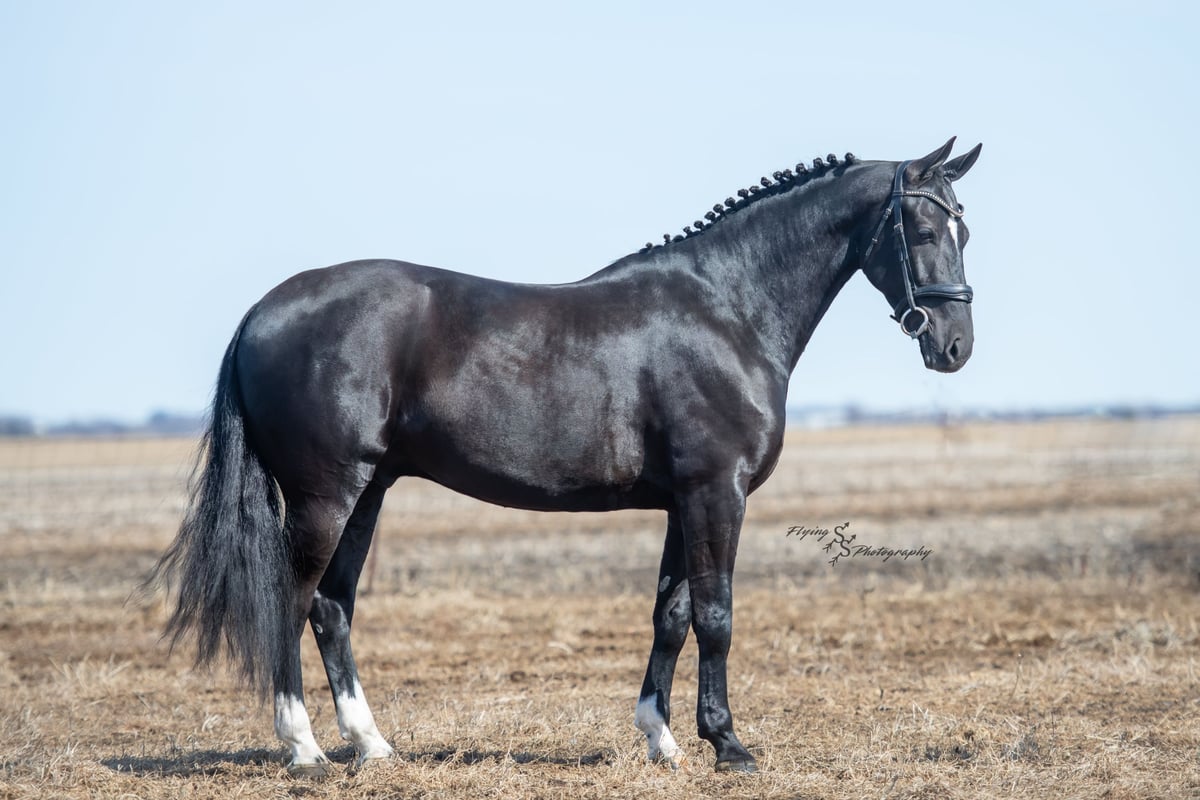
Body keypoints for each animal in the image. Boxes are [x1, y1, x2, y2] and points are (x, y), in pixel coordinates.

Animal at [148, 137, 982, 776]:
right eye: (920, 225)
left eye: (963, 230)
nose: (954, 347)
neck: (727, 310)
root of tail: (263, 311)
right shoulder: (717, 492)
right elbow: (716, 615)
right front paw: (729, 745)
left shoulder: (683, 500)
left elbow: (672, 614)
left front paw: (662, 740)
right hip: (327, 494)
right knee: (291, 600)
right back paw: (305, 749)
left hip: (369, 492)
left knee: (330, 607)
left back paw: (373, 746)